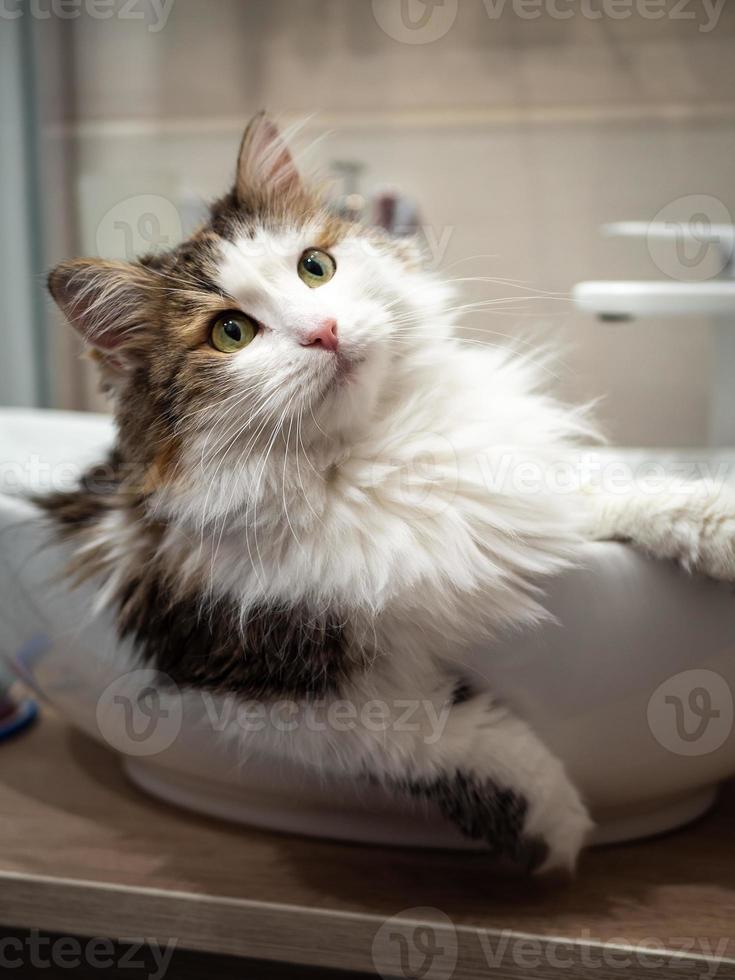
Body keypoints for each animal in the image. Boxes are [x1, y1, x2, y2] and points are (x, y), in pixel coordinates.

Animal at [38, 115, 735, 872]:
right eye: (230, 332)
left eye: (315, 267)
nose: (324, 333)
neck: (373, 453)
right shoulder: (235, 666)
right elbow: (425, 735)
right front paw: (550, 822)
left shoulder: (518, 497)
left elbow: (615, 497)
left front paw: (716, 522)